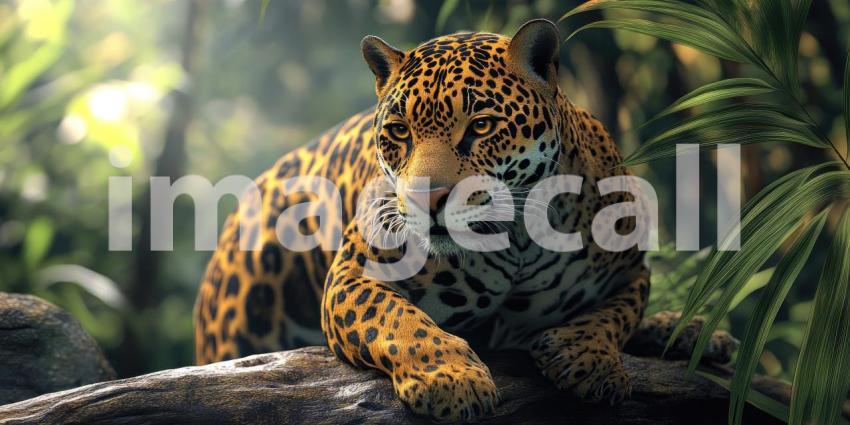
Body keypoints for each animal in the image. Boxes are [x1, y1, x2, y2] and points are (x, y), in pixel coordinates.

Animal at [194, 19, 736, 423]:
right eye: (399, 132)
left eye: (481, 126)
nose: (426, 199)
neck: (518, 237)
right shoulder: (353, 275)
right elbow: (399, 318)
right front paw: (452, 379)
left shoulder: (630, 268)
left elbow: (620, 312)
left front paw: (587, 356)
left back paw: (693, 331)